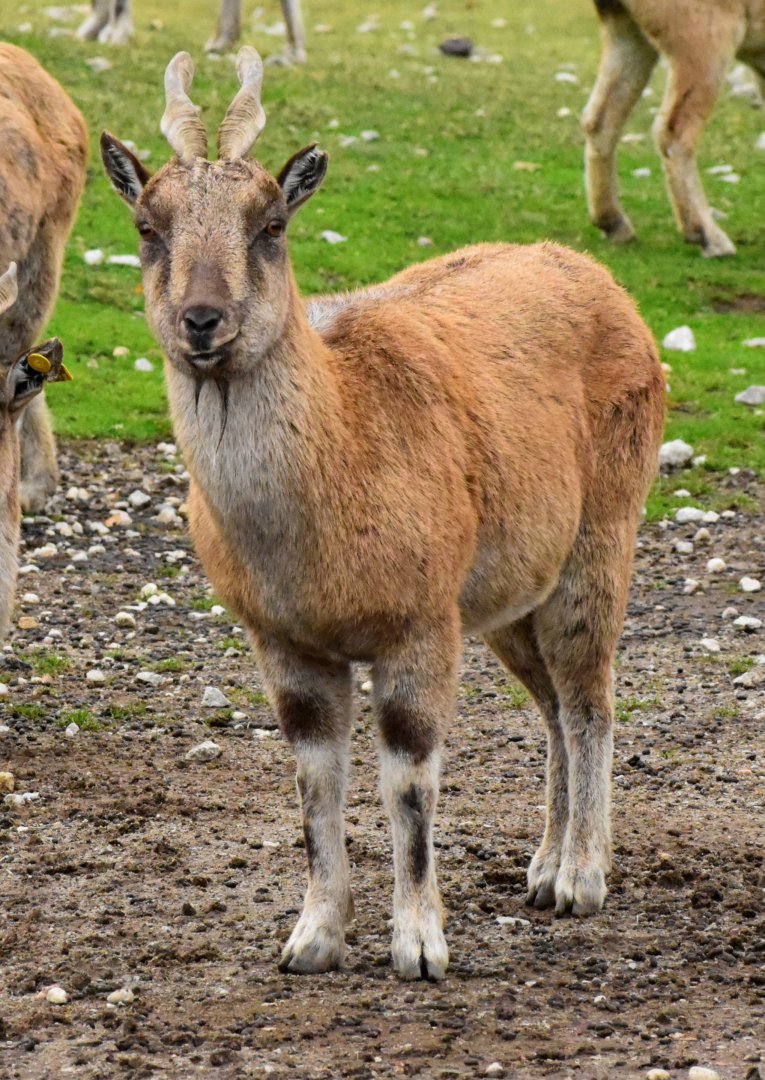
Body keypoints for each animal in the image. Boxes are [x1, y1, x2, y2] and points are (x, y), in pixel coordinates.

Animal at [101, 49, 665, 980]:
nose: (202, 321)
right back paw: (540, 869)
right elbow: (314, 781)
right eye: (149, 225)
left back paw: (581, 876)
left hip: (599, 541)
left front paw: (419, 945)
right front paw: (312, 938)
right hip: (508, 596)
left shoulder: (418, 622)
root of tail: (600, 282)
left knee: (589, 696)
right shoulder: (286, 640)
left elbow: (408, 783)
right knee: (550, 702)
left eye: (271, 224)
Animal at [583, 0, 765, 256]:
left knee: (600, 121)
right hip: (701, 37)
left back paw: (614, 224)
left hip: (625, 31)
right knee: (674, 131)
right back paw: (708, 237)